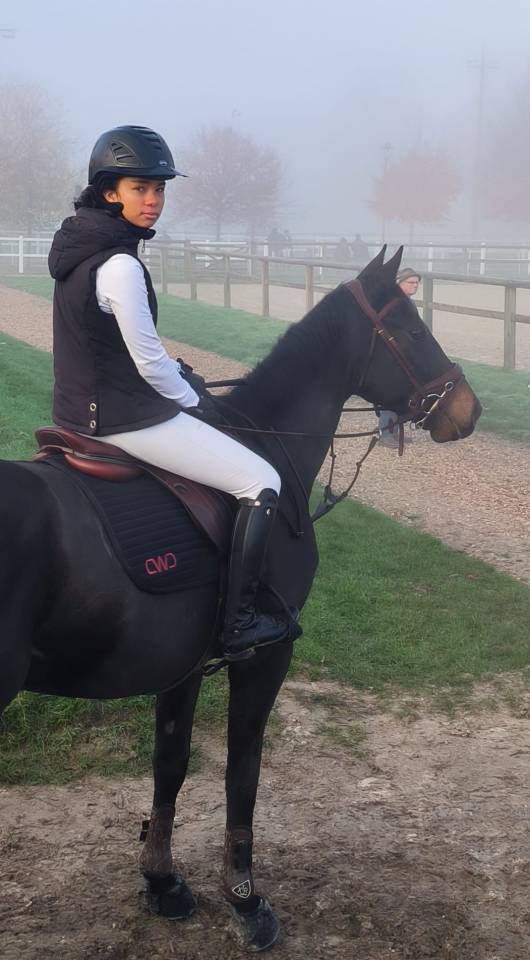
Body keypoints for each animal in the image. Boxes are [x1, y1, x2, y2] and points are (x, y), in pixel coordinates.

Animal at [0, 248, 481, 951]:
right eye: (412, 328)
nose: (469, 410)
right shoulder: (265, 657)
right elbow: (242, 771)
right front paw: (246, 900)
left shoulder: (180, 667)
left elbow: (170, 764)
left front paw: (163, 883)